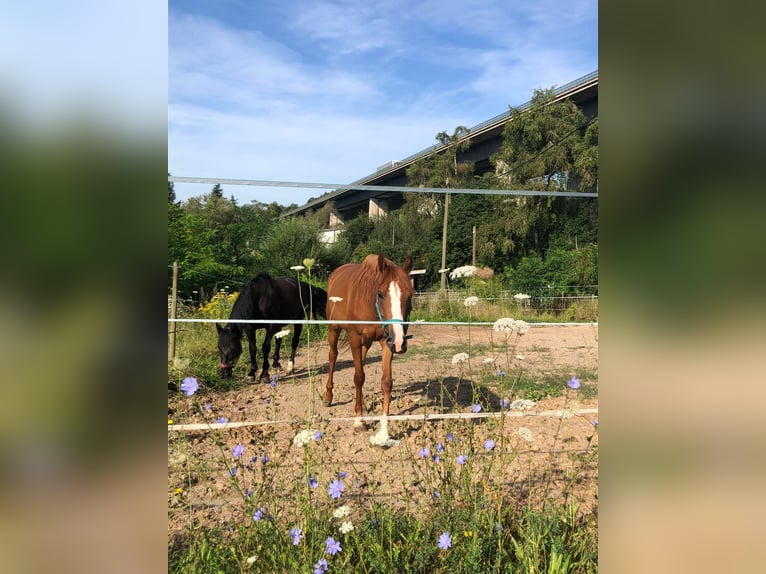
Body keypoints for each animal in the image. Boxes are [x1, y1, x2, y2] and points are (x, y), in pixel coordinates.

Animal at [328, 254, 416, 444]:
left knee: (360, 361)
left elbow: (386, 382)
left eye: (409, 296)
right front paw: (359, 421)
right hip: (334, 329)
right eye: (380, 294)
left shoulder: (386, 340)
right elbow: (359, 377)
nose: (400, 343)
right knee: (333, 356)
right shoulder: (355, 338)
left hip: (367, 343)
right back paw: (328, 396)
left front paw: (384, 432)